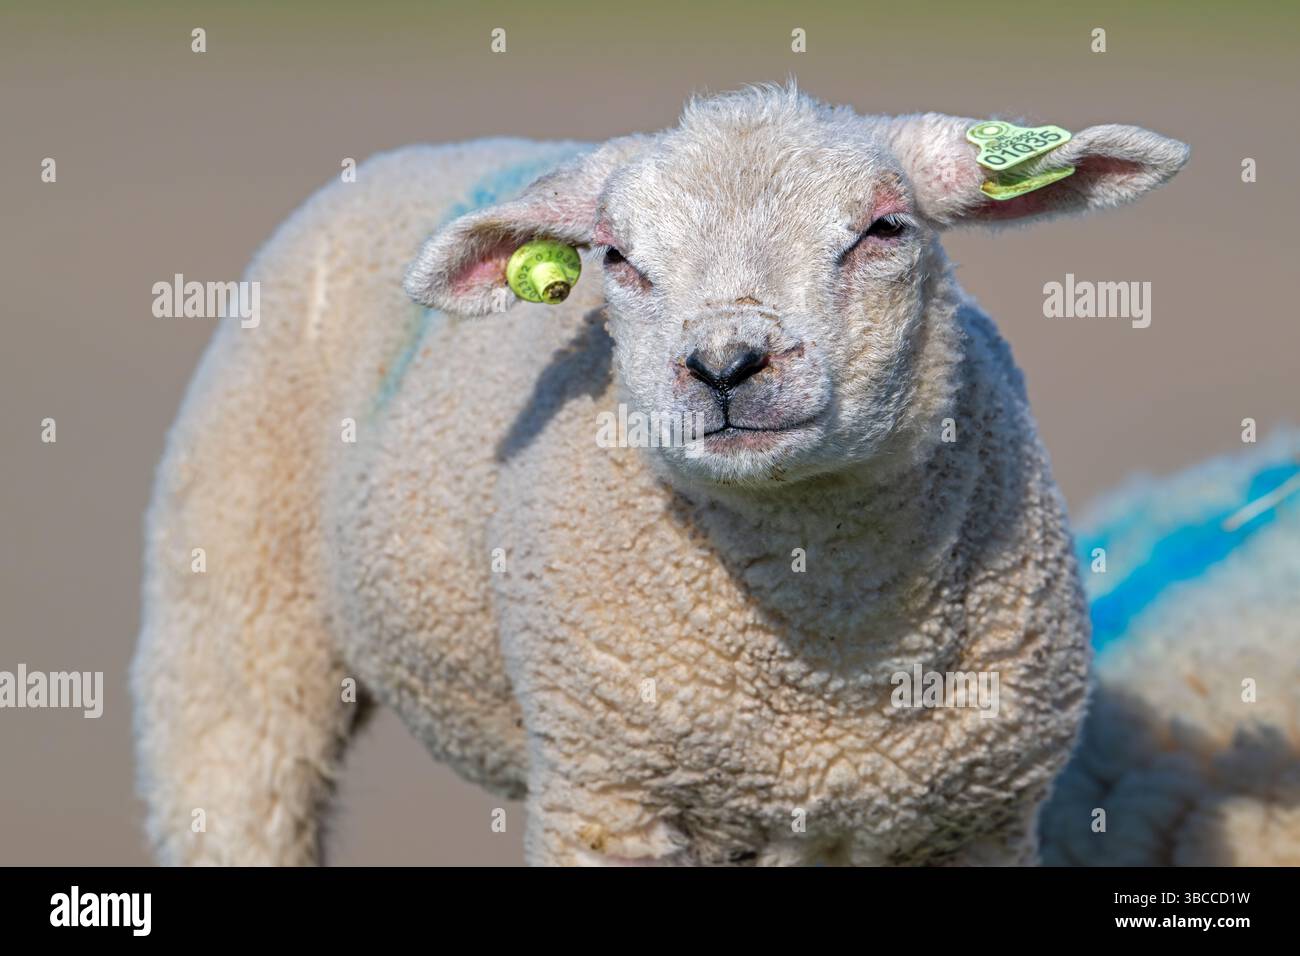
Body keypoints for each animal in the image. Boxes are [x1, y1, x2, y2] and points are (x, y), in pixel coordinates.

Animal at [131, 84, 1189, 865]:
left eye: (886, 229)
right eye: (617, 258)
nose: (724, 364)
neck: (830, 662)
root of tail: (421, 151)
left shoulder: (974, 821)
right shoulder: (612, 795)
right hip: (232, 622)